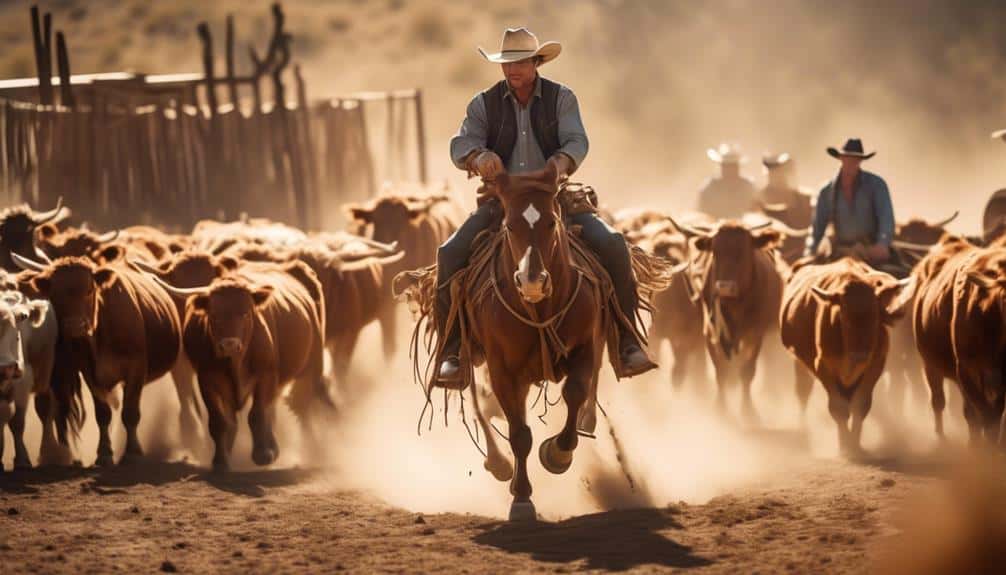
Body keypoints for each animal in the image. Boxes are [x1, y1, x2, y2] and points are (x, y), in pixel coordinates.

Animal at [12, 252, 182, 466]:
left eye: (89, 290)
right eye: (55, 294)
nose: (75, 325)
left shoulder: (136, 368)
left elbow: (130, 412)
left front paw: (133, 452)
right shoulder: (89, 373)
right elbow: (103, 412)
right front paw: (105, 453)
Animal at [149, 260, 330, 470]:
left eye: (245, 313)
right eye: (214, 314)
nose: (229, 344)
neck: (236, 363)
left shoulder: (266, 375)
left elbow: (257, 414)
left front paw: (263, 454)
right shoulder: (208, 380)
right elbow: (220, 422)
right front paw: (221, 460)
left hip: (312, 366)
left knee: (302, 406)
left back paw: (309, 450)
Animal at [668, 218, 786, 421]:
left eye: (744, 250)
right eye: (715, 251)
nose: (724, 287)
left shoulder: (755, 334)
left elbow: (747, 371)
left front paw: (748, 410)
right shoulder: (710, 332)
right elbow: (720, 370)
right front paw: (720, 408)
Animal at [780, 259, 914, 453]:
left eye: (876, 316)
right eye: (844, 316)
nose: (860, 356)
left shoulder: (876, 364)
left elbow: (861, 405)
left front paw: (854, 444)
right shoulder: (822, 366)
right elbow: (838, 408)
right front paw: (845, 446)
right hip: (799, 362)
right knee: (802, 392)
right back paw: (803, 427)